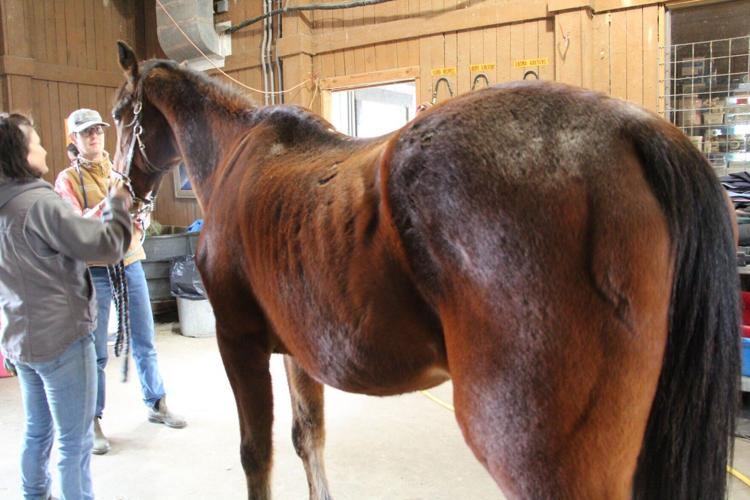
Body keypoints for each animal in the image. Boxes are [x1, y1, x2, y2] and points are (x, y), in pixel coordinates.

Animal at [111, 41, 739, 500]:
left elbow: (256, 455)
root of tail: (634, 128)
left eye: (120, 114)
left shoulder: (238, 343)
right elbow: (308, 440)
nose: (119, 198)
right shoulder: (296, 353)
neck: (241, 154)